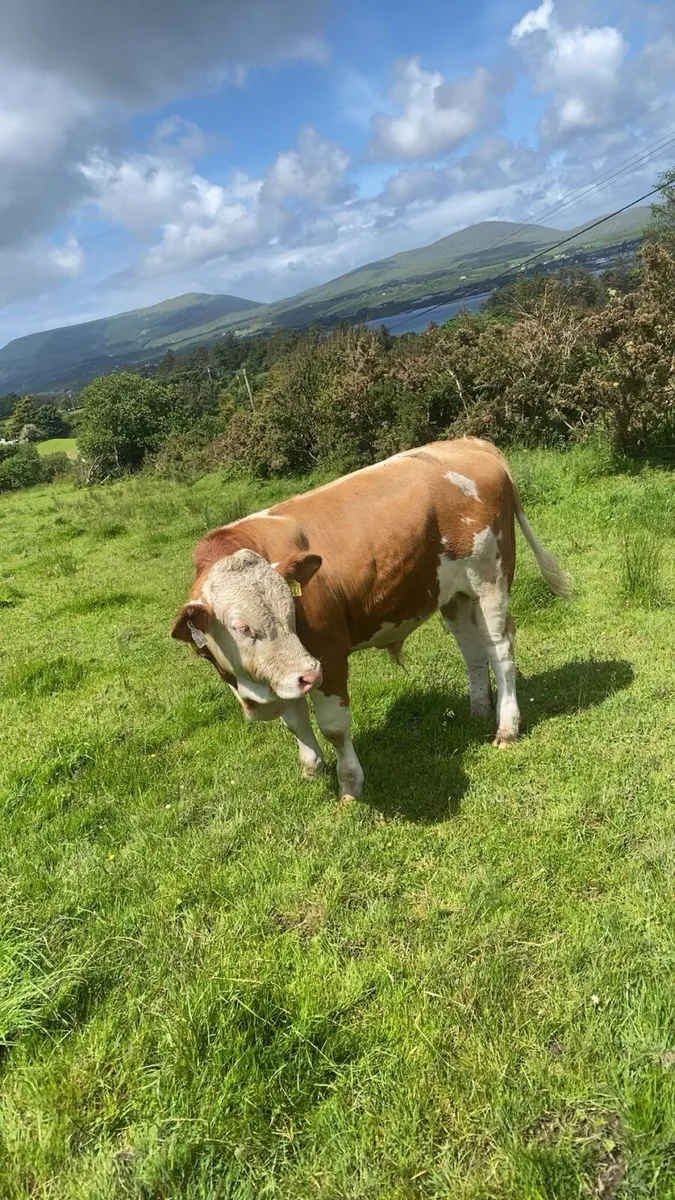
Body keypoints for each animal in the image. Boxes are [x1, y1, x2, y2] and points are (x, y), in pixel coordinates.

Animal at [171, 437, 571, 803]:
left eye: (291, 612)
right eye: (242, 628)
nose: (308, 675)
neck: (250, 688)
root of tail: (470, 443)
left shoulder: (329, 658)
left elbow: (333, 728)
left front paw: (349, 785)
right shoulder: (283, 673)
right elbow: (295, 722)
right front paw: (311, 769)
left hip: (491, 580)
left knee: (499, 651)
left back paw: (506, 728)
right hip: (452, 595)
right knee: (473, 651)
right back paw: (478, 711)